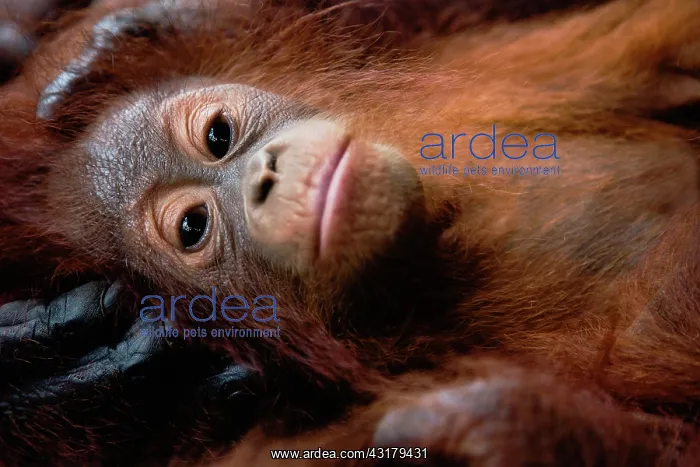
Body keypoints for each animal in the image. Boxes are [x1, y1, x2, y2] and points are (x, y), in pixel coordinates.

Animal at [2, 0, 700, 465]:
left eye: (218, 135)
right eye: (192, 226)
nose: (267, 172)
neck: (441, 237)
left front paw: (137, 37)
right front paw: (495, 428)